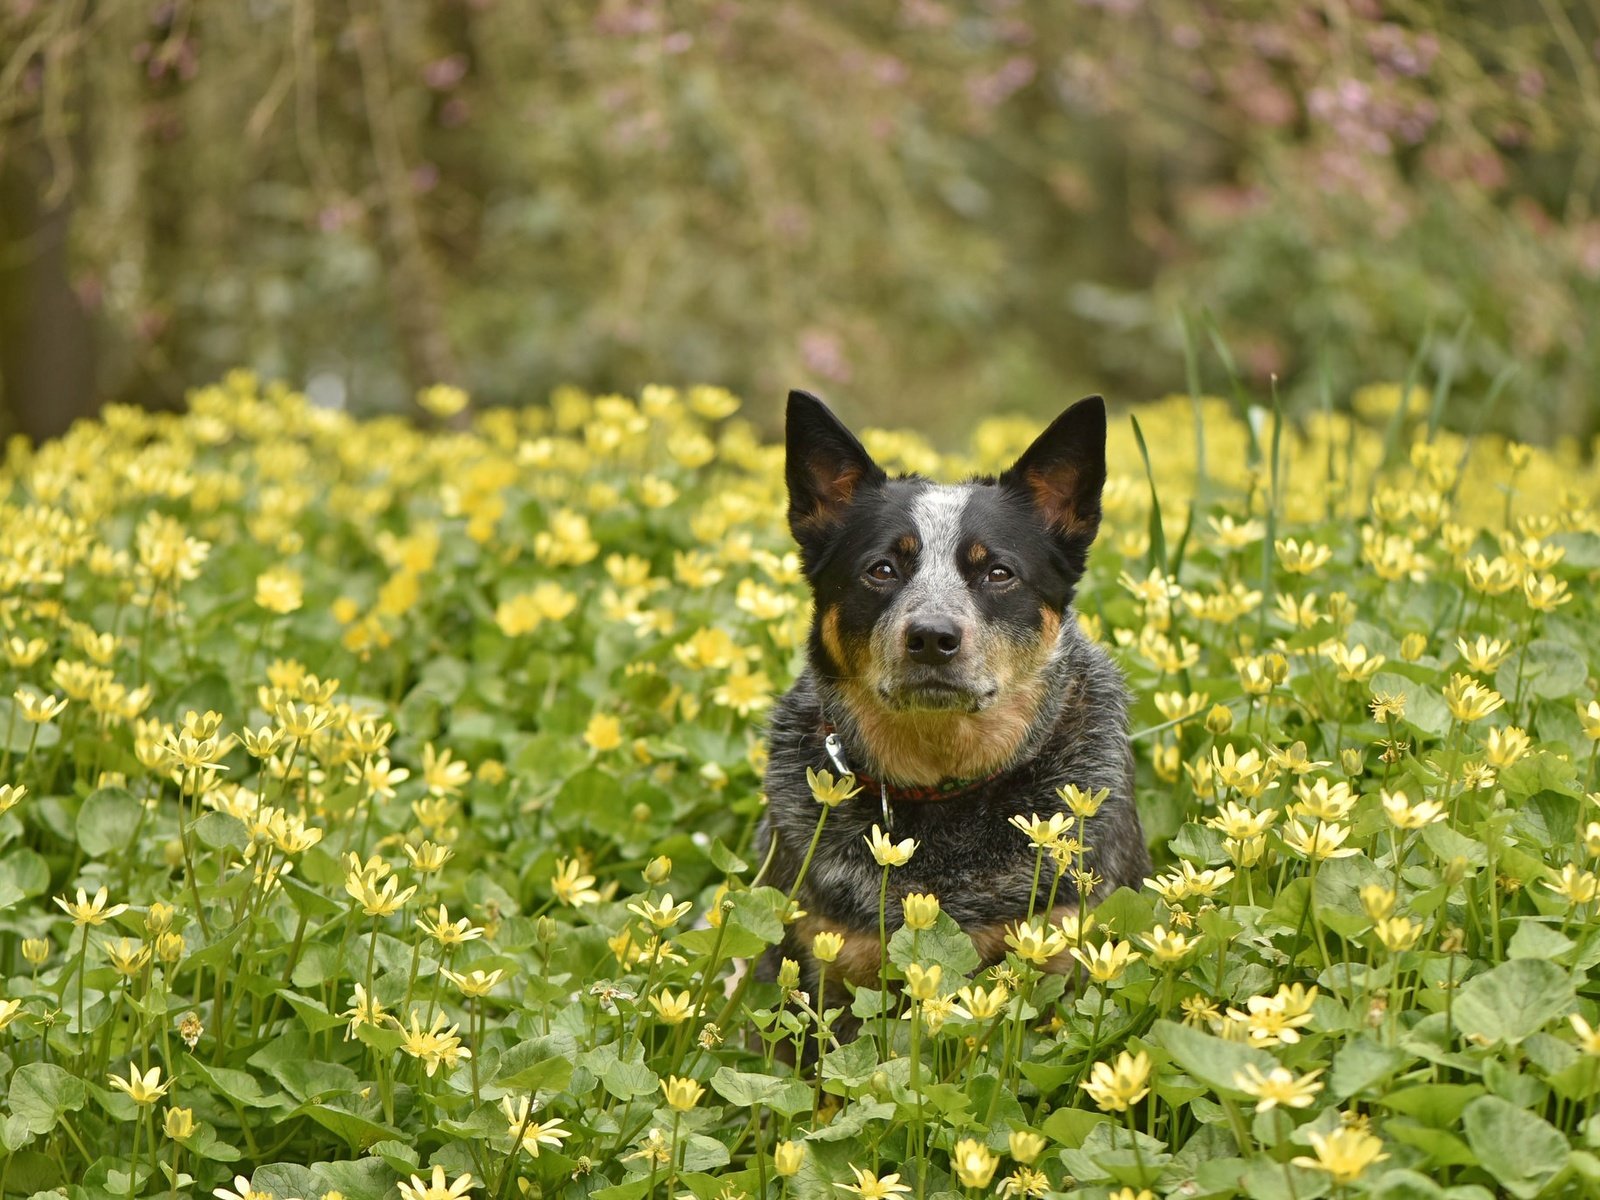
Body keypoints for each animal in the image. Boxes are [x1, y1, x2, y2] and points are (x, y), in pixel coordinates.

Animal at [758, 390, 1152, 1017]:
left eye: (998, 571)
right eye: (882, 569)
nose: (932, 636)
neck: (944, 786)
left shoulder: (1066, 955)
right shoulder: (822, 968)